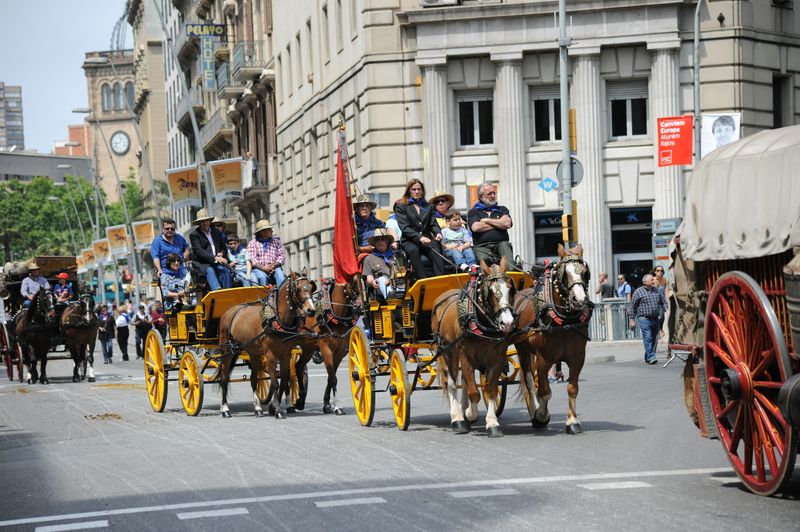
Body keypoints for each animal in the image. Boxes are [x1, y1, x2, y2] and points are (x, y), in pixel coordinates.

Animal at [219, 272, 318, 418]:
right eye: (298, 288)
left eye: (311, 288)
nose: (311, 310)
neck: (277, 319)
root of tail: (229, 311)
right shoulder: (270, 355)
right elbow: (276, 383)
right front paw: (277, 410)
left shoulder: (286, 355)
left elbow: (284, 380)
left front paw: (275, 407)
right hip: (228, 351)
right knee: (224, 378)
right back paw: (225, 409)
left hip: (253, 352)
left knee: (254, 379)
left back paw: (258, 408)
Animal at [434, 256, 516, 436]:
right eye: (490, 291)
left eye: (511, 289)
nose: (507, 323)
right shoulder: (466, 356)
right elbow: (474, 392)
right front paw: (470, 414)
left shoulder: (498, 358)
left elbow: (490, 390)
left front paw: (492, 423)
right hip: (448, 352)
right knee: (451, 383)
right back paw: (458, 418)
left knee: (464, 381)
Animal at [512, 243, 592, 434]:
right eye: (564, 273)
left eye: (585, 272)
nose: (580, 300)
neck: (565, 321)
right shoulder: (543, 359)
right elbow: (544, 391)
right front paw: (541, 416)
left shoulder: (578, 358)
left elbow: (572, 388)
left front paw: (572, 421)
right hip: (523, 350)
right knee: (529, 381)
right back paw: (534, 412)